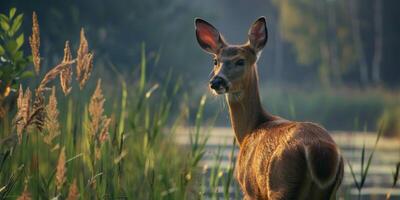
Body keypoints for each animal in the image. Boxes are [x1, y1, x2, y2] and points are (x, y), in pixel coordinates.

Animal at [194, 16, 344, 199]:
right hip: (330, 191)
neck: (249, 130)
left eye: (240, 61)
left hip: (282, 183)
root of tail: (320, 153)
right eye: (215, 61)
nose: (216, 82)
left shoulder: (250, 189)